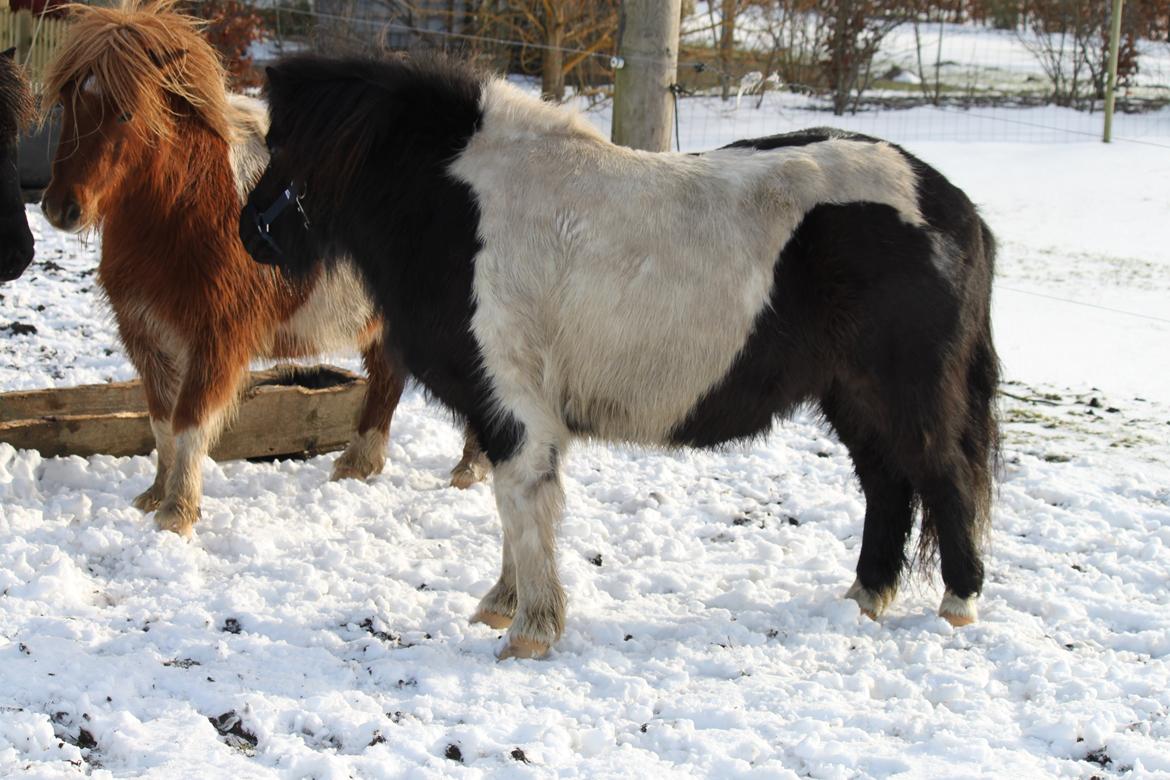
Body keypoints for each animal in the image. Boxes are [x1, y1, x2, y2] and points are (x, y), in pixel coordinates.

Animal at [36, 0, 484, 537]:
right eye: (67, 104)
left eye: (126, 112)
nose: (62, 209)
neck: (186, 211)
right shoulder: (146, 334)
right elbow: (161, 422)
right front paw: (154, 495)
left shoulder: (217, 338)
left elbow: (189, 422)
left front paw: (177, 514)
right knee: (386, 378)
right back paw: (358, 464)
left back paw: (470, 468)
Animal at [242, 54, 1001, 659]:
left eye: (286, 149)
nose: (251, 233)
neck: (466, 212)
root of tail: (955, 207)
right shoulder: (505, 415)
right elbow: (513, 512)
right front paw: (502, 606)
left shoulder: (516, 412)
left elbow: (523, 507)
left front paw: (531, 632)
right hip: (854, 395)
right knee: (887, 485)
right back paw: (864, 598)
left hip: (906, 393)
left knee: (944, 480)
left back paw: (957, 608)